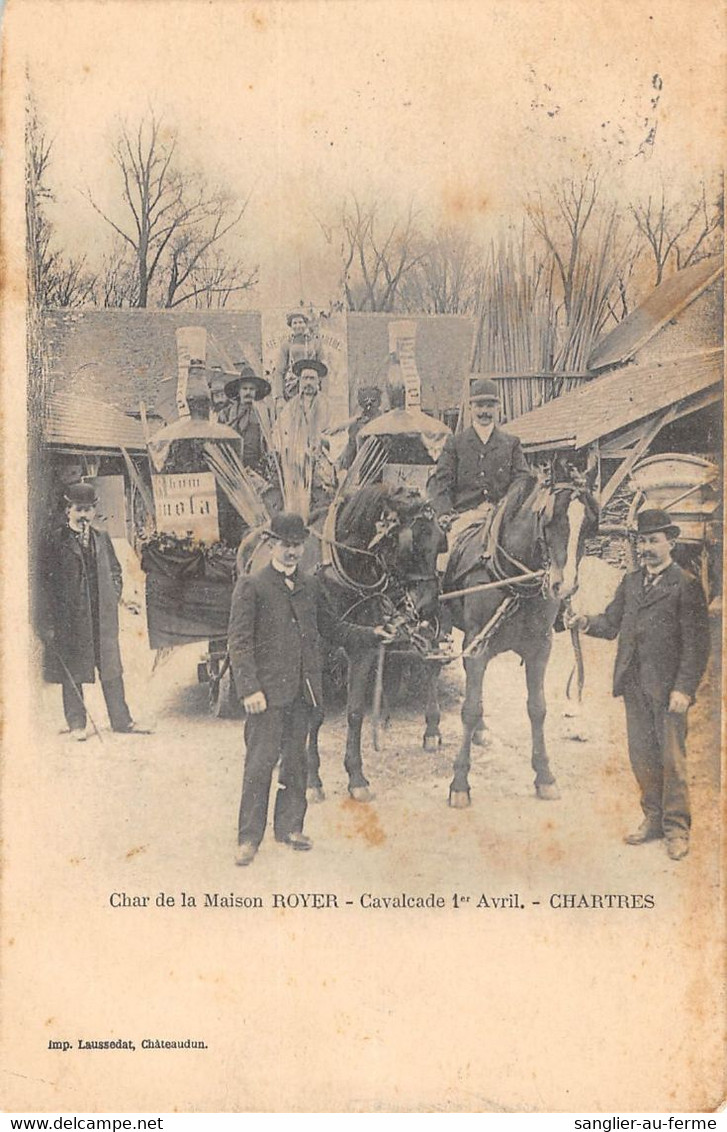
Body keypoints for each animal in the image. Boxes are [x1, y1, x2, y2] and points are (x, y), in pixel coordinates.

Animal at [443, 464, 597, 810]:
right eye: (551, 519)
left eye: (588, 526)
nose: (564, 587)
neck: (515, 580)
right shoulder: (478, 646)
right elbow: (469, 709)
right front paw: (459, 782)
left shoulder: (540, 648)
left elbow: (537, 709)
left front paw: (545, 776)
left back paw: (481, 732)